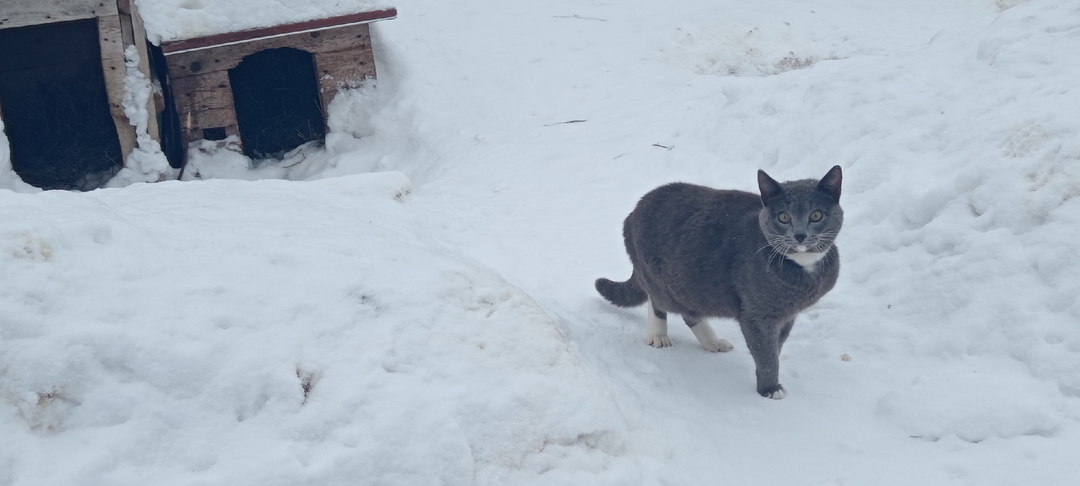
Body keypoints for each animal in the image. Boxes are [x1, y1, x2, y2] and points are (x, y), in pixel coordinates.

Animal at [600, 165, 842, 397]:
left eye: (816, 215)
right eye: (784, 217)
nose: (800, 234)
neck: (804, 267)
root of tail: (635, 210)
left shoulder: (787, 316)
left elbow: (776, 347)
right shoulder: (757, 316)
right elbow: (765, 354)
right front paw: (769, 388)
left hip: (689, 288)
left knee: (689, 313)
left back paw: (712, 342)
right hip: (663, 280)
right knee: (658, 301)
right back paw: (658, 335)